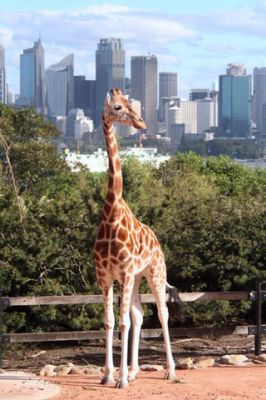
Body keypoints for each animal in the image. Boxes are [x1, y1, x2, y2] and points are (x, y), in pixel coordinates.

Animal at [93, 87, 179, 388]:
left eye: (131, 103)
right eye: (118, 107)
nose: (141, 122)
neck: (111, 214)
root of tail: (157, 241)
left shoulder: (126, 273)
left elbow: (123, 323)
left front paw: (120, 380)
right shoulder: (106, 276)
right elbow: (110, 321)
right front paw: (109, 375)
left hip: (154, 273)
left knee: (162, 313)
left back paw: (170, 371)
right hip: (138, 277)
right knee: (139, 314)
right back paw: (134, 370)